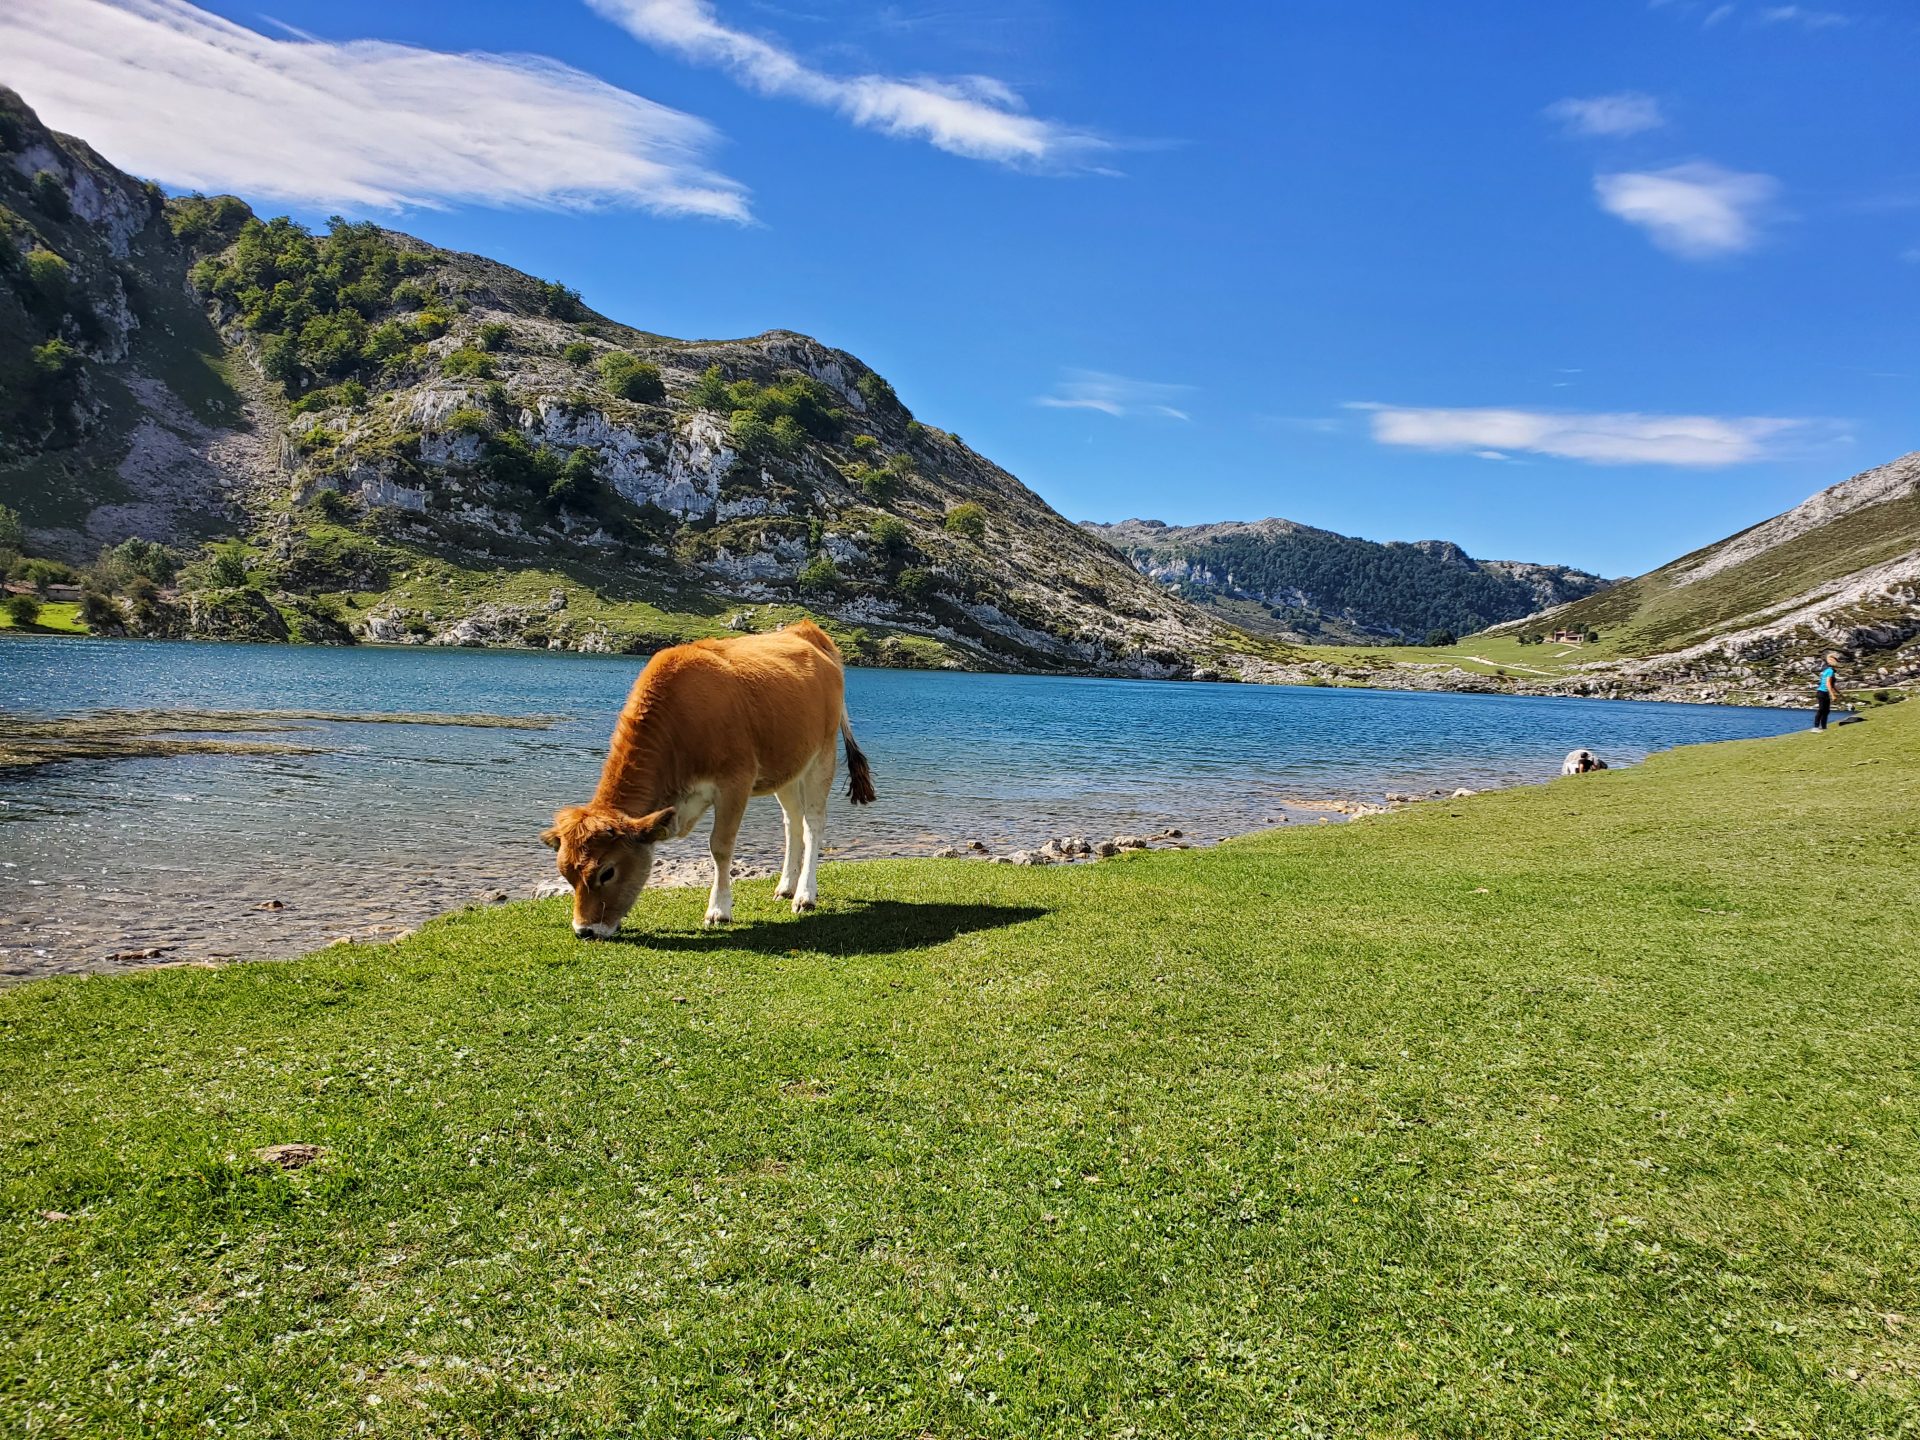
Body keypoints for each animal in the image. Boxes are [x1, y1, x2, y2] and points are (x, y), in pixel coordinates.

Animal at [542, 620, 876, 939]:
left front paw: (719, 910)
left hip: (822, 756)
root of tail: (806, 629)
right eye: (567, 875)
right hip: (786, 767)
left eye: (607, 872)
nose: (585, 930)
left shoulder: (735, 782)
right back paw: (786, 887)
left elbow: (720, 846)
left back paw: (805, 895)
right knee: (792, 822)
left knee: (812, 823)